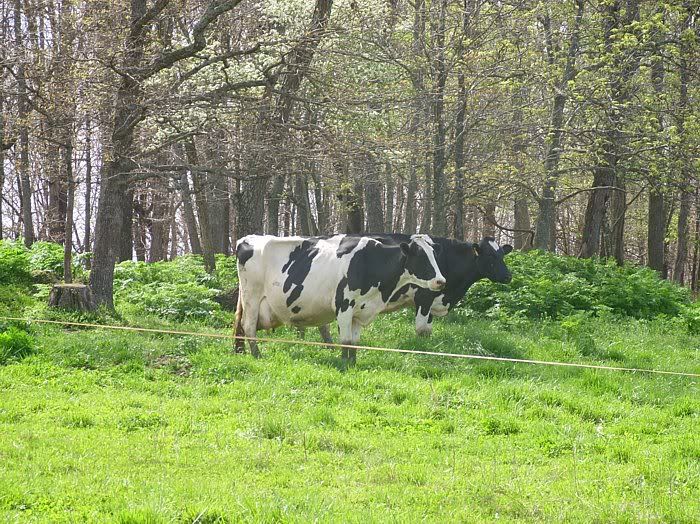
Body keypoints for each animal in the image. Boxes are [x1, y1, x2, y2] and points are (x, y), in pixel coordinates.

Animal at [234, 233, 446, 364]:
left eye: (434, 255)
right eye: (420, 256)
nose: (441, 281)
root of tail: (247, 239)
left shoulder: (361, 310)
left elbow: (354, 341)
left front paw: (353, 361)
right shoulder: (344, 305)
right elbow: (345, 339)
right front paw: (344, 363)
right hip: (252, 297)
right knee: (248, 326)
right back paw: (257, 355)